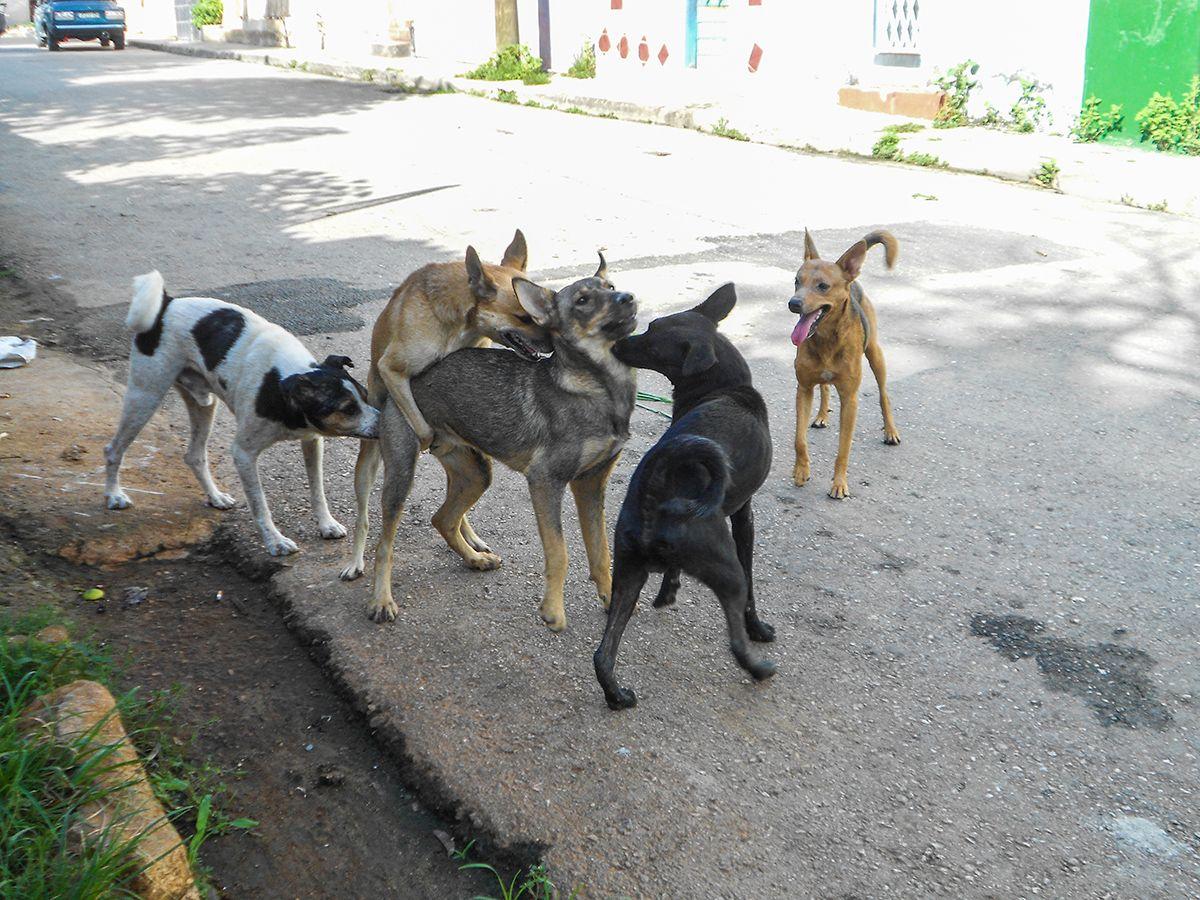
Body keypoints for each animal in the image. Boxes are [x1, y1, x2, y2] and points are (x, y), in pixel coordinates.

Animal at [104, 271, 379, 556]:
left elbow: (318, 491)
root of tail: (166, 304)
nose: (383, 423)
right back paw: (114, 495)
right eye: (348, 408)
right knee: (114, 449)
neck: (281, 383)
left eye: (365, 396)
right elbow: (259, 504)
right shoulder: (243, 454)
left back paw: (215, 497)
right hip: (145, 396)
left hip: (204, 404)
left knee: (194, 455)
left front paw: (326, 524)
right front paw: (275, 541)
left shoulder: (312, 441)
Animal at [338, 231, 550, 581]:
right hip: (368, 466)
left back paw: (472, 540)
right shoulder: (393, 370)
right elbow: (419, 421)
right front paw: (425, 435)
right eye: (523, 318)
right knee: (364, 515)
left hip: (468, 468)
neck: (460, 323)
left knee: (457, 511)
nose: (552, 345)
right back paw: (355, 560)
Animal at [362, 258, 637, 629]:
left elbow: (600, 552)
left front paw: (611, 600)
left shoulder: (591, 484)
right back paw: (381, 599)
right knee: (385, 544)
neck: (601, 388)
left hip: (476, 473)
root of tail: (407, 377)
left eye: (610, 288)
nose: (628, 297)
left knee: (443, 519)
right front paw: (553, 609)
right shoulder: (546, 481)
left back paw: (474, 559)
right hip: (402, 476)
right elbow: (560, 552)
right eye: (582, 300)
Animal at [593, 283, 775, 709]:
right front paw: (758, 627)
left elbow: (672, 573)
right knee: (735, 635)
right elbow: (752, 587)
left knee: (602, 654)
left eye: (652, 336)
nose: (617, 343)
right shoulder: (743, 516)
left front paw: (667, 591)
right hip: (726, 569)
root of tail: (658, 479)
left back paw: (617, 694)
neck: (726, 389)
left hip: (628, 572)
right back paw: (758, 668)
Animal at [789, 229, 900, 499]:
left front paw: (839, 484)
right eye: (796, 281)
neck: (826, 338)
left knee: (884, 394)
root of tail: (853, 279)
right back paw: (821, 415)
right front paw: (801, 470)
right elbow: (799, 439)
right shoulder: (803, 389)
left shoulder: (850, 400)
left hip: (875, 354)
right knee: (824, 387)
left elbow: (844, 449)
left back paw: (890, 431)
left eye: (823, 286)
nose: (793, 303)